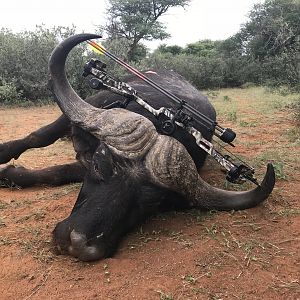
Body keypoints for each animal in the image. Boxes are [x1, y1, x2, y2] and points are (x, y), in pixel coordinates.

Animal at [0, 34, 274, 262]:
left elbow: (60, 172)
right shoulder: (80, 113)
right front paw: (5, 158)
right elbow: (38, 137)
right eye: (99, 167)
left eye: (152, 202)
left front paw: (11, 174)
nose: (77, 245)